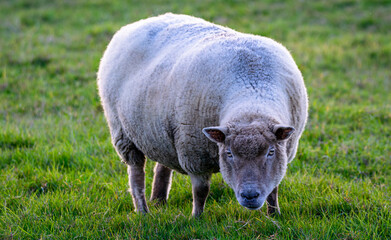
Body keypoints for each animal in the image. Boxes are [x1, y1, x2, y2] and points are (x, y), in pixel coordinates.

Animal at [98, 13, 310, 218]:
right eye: (229, 153)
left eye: (270, 152)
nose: (250, 196)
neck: (251, 94)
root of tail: (136, 24)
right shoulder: (194, 154)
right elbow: (201, 191)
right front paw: (197, 218)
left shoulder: (283, 154)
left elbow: (273, 189)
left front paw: (274, 214)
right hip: (123, 133)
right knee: (136, 175)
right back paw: (143, 211)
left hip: (161, 130)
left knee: (162, 164)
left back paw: (158, 200)